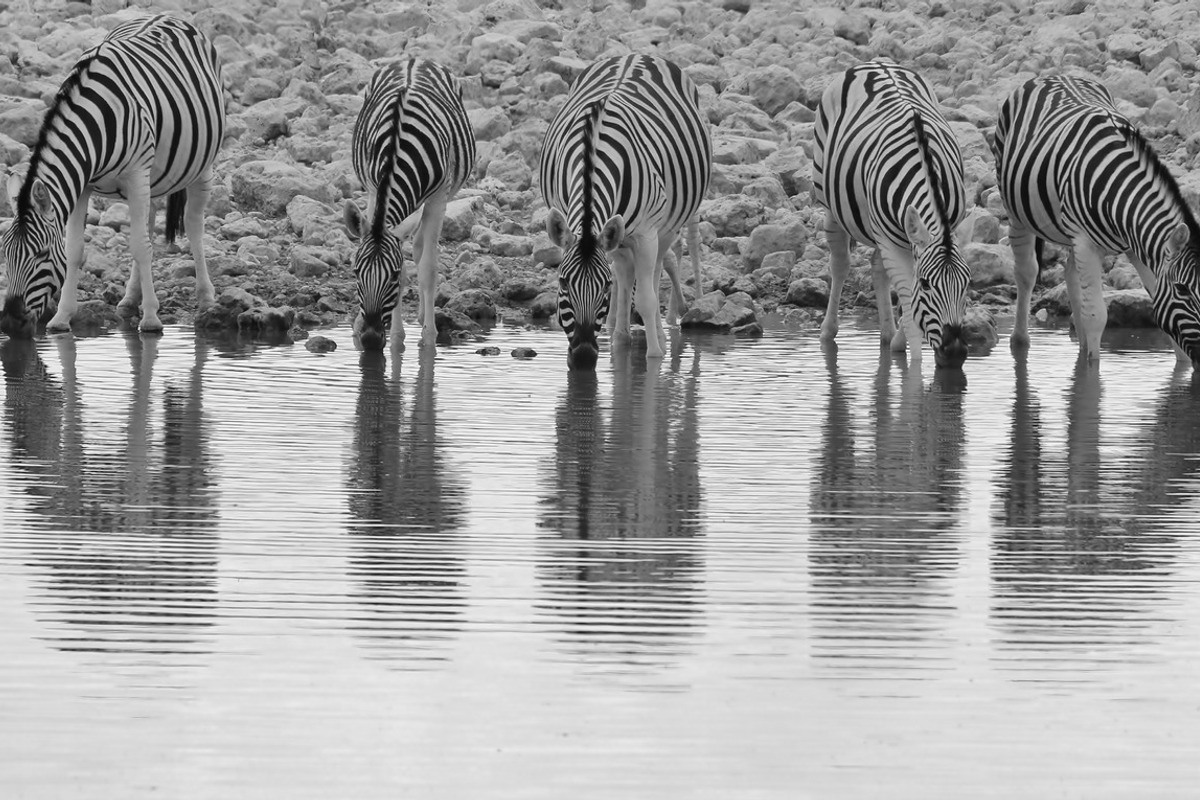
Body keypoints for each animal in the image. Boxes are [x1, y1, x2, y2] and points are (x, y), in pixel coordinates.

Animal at [1, 15, 226, 339]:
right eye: (5, 254)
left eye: (41, 254)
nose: (9, 323)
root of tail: (169, 14)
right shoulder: (83, 183)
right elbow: (75, 249)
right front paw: (62, 317)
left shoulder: (135, 173)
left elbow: (140, 247)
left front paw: (152, 319)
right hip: (152, 176)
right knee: (148, 224)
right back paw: (131, 298)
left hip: (201, 163)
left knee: (193, 225)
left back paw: (206, 298)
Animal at [343, 59, 476, 351]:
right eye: (356, 272)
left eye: (390, 276)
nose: (370, 341)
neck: (397, 142)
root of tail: (413, 59)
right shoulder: (374, 189)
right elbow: (407, 264)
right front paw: (396, 336)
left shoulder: (438, 197)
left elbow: (427, 269)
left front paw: (428, 337)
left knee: (422, 247)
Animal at [539, 54, 711, 370]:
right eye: (563, 282)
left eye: (604, 287)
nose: (583, 358)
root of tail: (636, 55)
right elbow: (625, 282)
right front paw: (620, 343)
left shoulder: (645, 235)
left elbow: (645, 298)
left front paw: (655, 356)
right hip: (621, 234)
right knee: (631, 270)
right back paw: (623, 335)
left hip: (668, 223)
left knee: (660, 267)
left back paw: (661, 331)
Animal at [814, 61, 972, 369]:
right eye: (926, 284)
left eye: (967, 284)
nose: (955, 353)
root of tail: (876, 62)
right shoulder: (893, 243)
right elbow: (910, 303)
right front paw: (914, 368)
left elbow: (906, 298)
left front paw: (899, 343)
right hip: (830, 202)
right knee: (840, 264)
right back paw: (828, 332)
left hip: (881, 230)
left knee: (877, 267)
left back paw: (887, 335)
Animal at [992, 74, 1200, 365]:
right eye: (1182, 290)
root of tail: (1054, 75)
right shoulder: (1086, 243)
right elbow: (1096, 316)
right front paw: (1090, 369)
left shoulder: (1139, 249)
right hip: (1016, 211)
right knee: (1026, 273)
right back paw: (1021, 341)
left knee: (1070, 274)